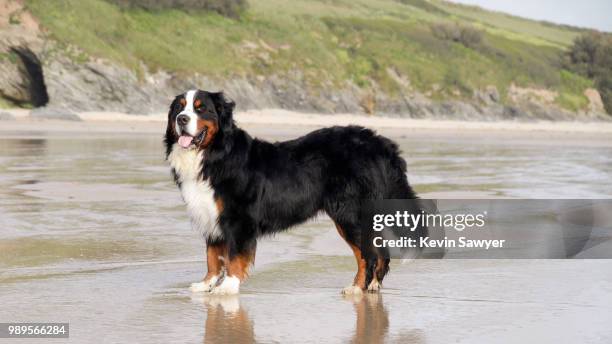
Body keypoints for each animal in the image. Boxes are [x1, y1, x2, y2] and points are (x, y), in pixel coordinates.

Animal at [165, 90, 418, 294]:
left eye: (201, 108)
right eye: (179, 107)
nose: (182, 119)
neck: (213, 155)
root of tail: (379, 143)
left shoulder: (237, 220)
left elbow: (234, 257)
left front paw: (227, 287)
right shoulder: (210, 217)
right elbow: (212, 258)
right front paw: (205, 284)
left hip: (348, 215)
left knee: (368, 255)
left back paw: (357, 288)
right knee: (379, 251)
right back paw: (372, 286)